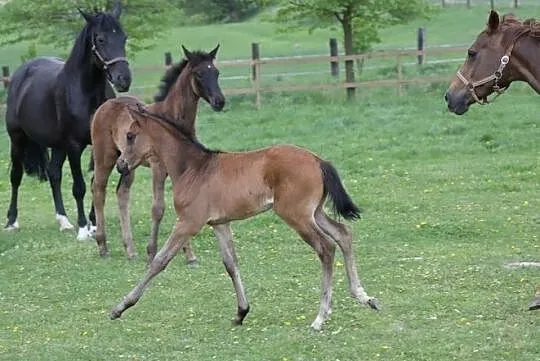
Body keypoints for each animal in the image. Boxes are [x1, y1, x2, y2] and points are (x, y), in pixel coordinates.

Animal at [5, 2, 131, 240]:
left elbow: (96, 181)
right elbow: (79, 186)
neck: (86, 93)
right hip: (17, 138)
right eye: (100, 39)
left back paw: (63, 221)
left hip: (56, 145)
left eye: (123, 37)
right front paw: (83, 229)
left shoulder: (97, 143)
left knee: (53, 174)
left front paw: (94, 225)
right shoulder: (73, 145)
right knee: (16, 177)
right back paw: (11, 221)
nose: (123, 79)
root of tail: (20, 74)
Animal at [90, 45, 224, 260]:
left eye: (217, 72)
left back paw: (130, 249)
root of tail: (105, 105)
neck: (171, 117)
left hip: (128, 165)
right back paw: (103, 246)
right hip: (105, 157)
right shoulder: (158, 167)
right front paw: (152, 251)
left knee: (122, 192)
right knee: (98, 190)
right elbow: (157, 208)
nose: (219, 101)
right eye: (199, 74)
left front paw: (189, 255)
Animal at [108, 103, 380, 330]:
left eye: (130, 136)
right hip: (315, 212)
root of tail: (317, 160)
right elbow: (231, 264)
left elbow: (159, 262)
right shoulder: (219, 223)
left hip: (297, 215)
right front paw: (241, 312)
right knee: (343, 235)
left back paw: (320, 317)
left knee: (326, 247)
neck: (194, 169)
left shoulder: (188, 223)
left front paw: (120, 307)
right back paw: (364, 297)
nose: (121, 165)